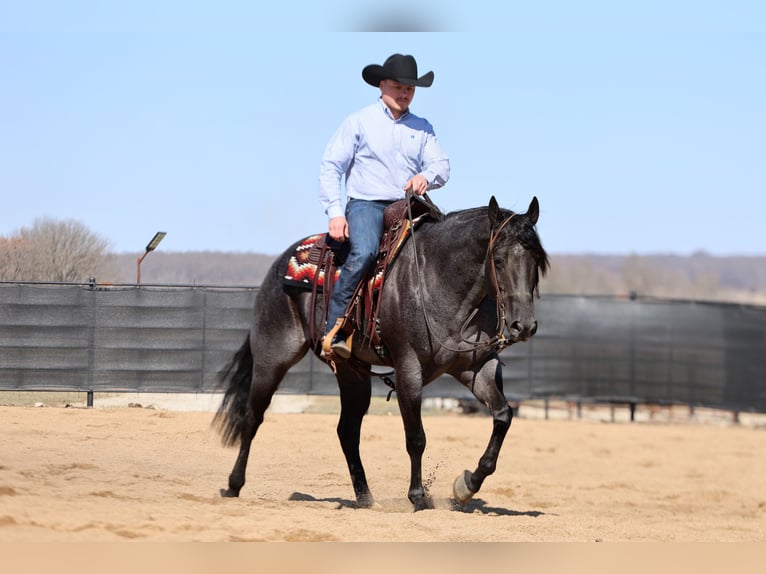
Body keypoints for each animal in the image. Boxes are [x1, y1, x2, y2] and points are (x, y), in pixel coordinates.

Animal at [216, 198, 548, 512]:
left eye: (536, 260)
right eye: (498, 260)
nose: (523, 325)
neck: (439, 281)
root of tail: (281, 264)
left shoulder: (477, 367)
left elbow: (503, 416)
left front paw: (466, 485)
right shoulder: (408, 371)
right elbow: (416, 437)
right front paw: (419, 497)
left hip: (352, 373)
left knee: (347, 431)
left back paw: (365, 497)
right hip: (272, 358)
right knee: (252, 416)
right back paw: (233, 484)